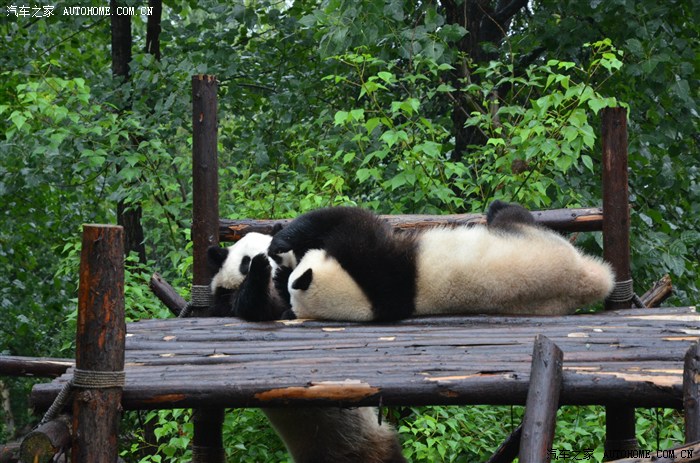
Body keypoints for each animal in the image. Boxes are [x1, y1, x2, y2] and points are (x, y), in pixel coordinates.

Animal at [272, 202, 615, 322]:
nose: (287, 279)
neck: (362, 297)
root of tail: (586, 279)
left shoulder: (374, 264)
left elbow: (349, 220)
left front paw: (280, 243)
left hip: (532, 240)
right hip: (534, 240)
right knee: (512, 216)